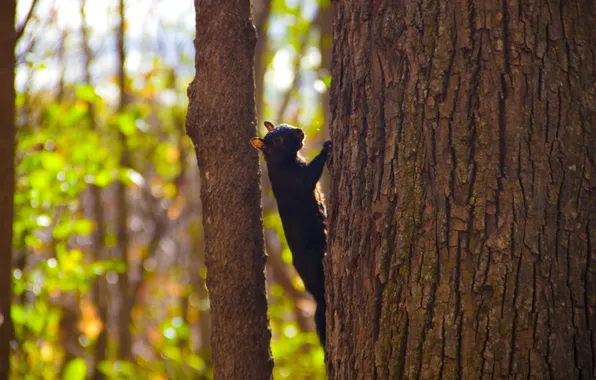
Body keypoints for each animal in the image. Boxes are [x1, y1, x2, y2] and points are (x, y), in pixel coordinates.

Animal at [248, 121, 330, 348]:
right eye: (277, 140)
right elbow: (311, 174)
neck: (285, 161)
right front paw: (326, 147)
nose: (300, 131)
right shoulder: (295, 180)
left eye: (286, 125)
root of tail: (316, 296)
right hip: (314, 260)